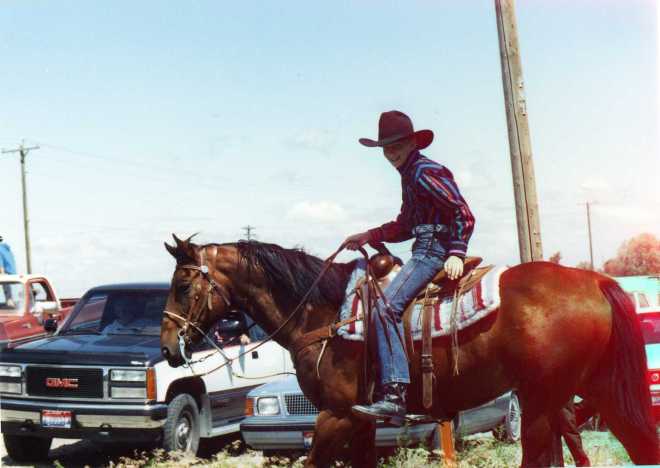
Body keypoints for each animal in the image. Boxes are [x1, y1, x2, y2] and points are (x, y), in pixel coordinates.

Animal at [160, 235, 658, 467]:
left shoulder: (334, 416)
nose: (167, 347)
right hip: (592, 391)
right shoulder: (359, 421)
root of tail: (596, 281)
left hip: (540, 400)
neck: (323, 313)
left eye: (183, 285)